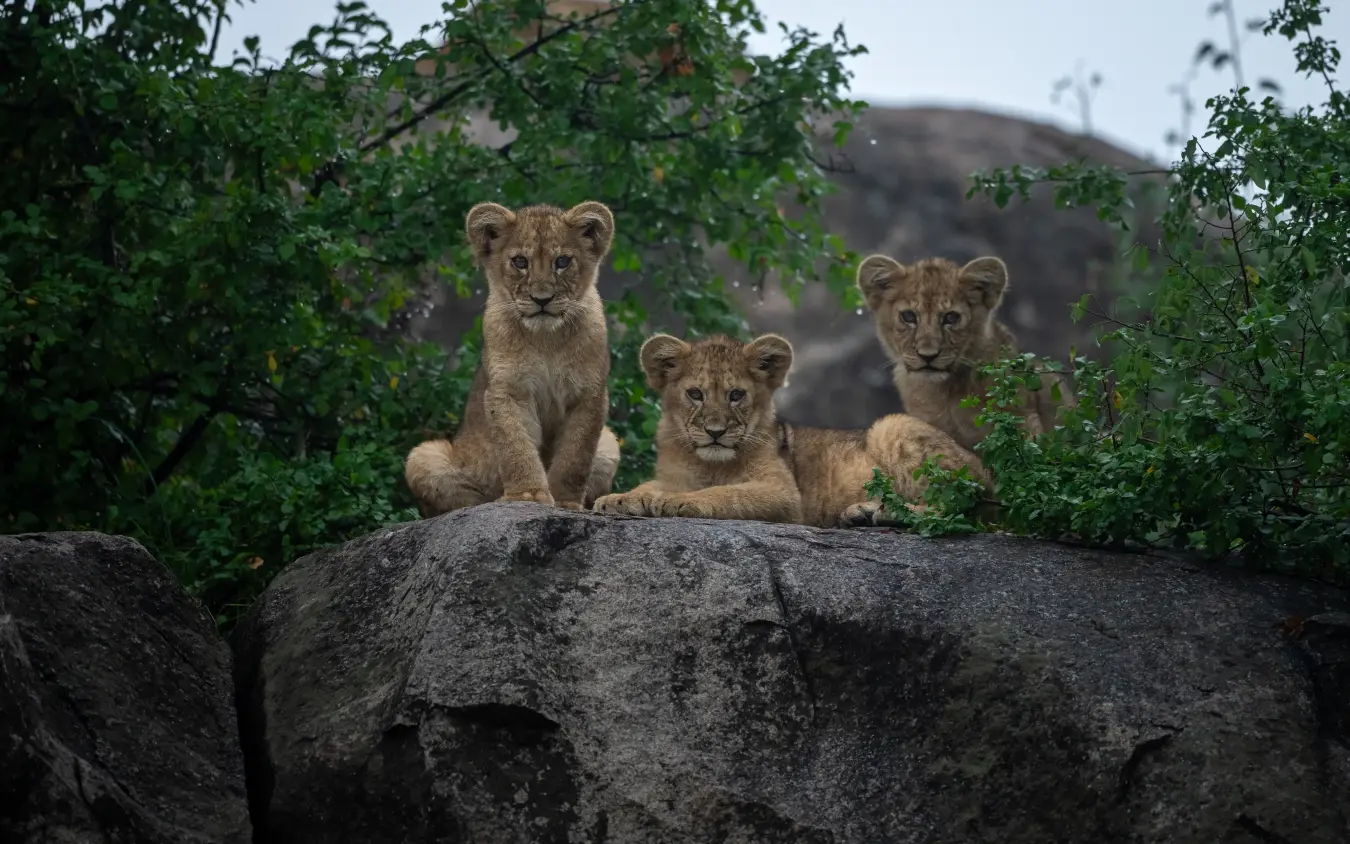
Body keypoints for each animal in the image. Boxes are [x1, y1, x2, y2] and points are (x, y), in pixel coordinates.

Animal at [404, 200, 621, 516]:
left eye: (562, 261)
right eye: (520, 262)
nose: (541, 299)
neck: (546, 340)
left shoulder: (589, 395)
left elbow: (575, 457)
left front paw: (565, 502)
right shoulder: (508, 390)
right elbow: (516, 445)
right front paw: (527, 495)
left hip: (609, 442)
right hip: (423, 455)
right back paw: (493, 500)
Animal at [592, 333, 803, 524]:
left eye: (736, 394)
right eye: (695, 393)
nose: (715, 432)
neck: (711, 465)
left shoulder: (784, 492)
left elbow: (729, 492)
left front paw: (676, 499)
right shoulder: (674, 476)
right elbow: (647, 485)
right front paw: (617, 499)